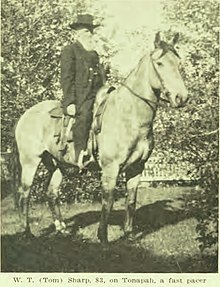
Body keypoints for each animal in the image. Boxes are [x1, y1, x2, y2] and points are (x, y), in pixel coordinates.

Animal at [14, 33, 188, 245]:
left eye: (178, 62)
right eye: (160, 63)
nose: (182, 97)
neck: (129, 115)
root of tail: (26, 115)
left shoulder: (137, 168)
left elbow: (131, 201)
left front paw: (128, 235)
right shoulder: (111, 168)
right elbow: (108, 201)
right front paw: (103, 238)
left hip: (57, 164)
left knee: (52, 193)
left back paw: (62, 229)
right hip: (30, 162)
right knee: (24, 194)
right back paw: (26, 232)